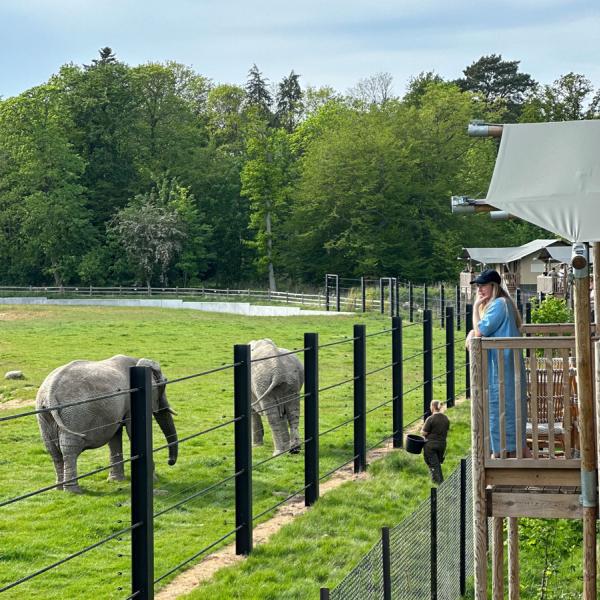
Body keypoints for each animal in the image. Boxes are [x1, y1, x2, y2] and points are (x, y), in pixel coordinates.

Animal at [35, 356, 178, 492]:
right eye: (164, 383)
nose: (170, 462)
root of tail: (50, 392)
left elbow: (115, 436)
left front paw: (116, 481)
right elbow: (131, 431)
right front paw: (154, 480)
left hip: (44, 416)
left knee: (53, 450)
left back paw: (59, 489)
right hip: (72, 415)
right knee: (69, 449)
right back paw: (73, 491)